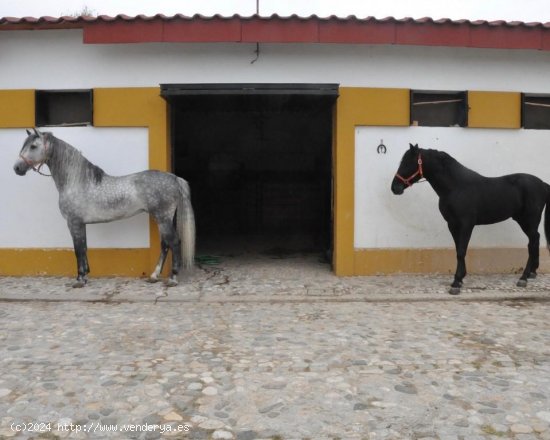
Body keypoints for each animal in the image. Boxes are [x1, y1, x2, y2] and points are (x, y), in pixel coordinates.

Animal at [13, 128, 196, 286]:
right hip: (163, 218)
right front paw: (86, 274)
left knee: (174, 242)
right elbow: (84, 247)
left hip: (163, 217)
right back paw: (154, 276)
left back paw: (172, 278)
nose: (17, 168)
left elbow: (78, 249)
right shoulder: (81, 224)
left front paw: (80, 279)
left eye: (33, 146)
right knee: (165, 244)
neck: (76, 181)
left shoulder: (73, 222)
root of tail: (174, 178)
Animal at [392, 145, 550, 296]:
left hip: (529, 221)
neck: (456, 187)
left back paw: (524, 277)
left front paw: (456, 283)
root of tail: (543, 184)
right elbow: (458, 249)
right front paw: (460, 279)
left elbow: (461, 251)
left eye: (408, 163)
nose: (395, 188)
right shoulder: (452, 224)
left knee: (532, 242)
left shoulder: (466, 224)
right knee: (535, 240)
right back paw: (532, 273)